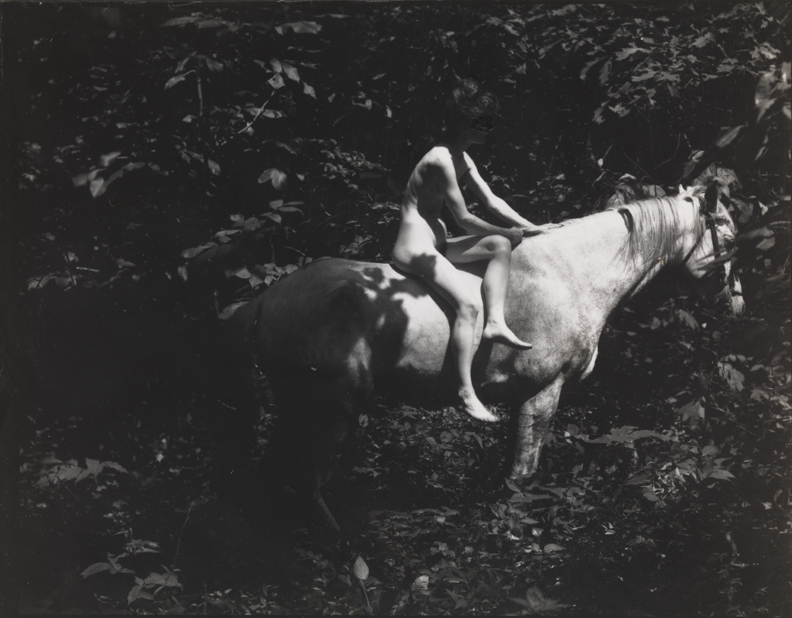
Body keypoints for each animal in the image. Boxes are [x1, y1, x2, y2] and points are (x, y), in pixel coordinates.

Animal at [224, 183, 739, 530]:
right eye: (730, 240)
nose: (735, 307)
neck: (571, 274)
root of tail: (266, 300)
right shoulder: (542, 395)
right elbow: (523, 476)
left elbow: (511, 475)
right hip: (331, 410)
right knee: (305, 482)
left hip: (298, 408)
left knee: (272, 476)